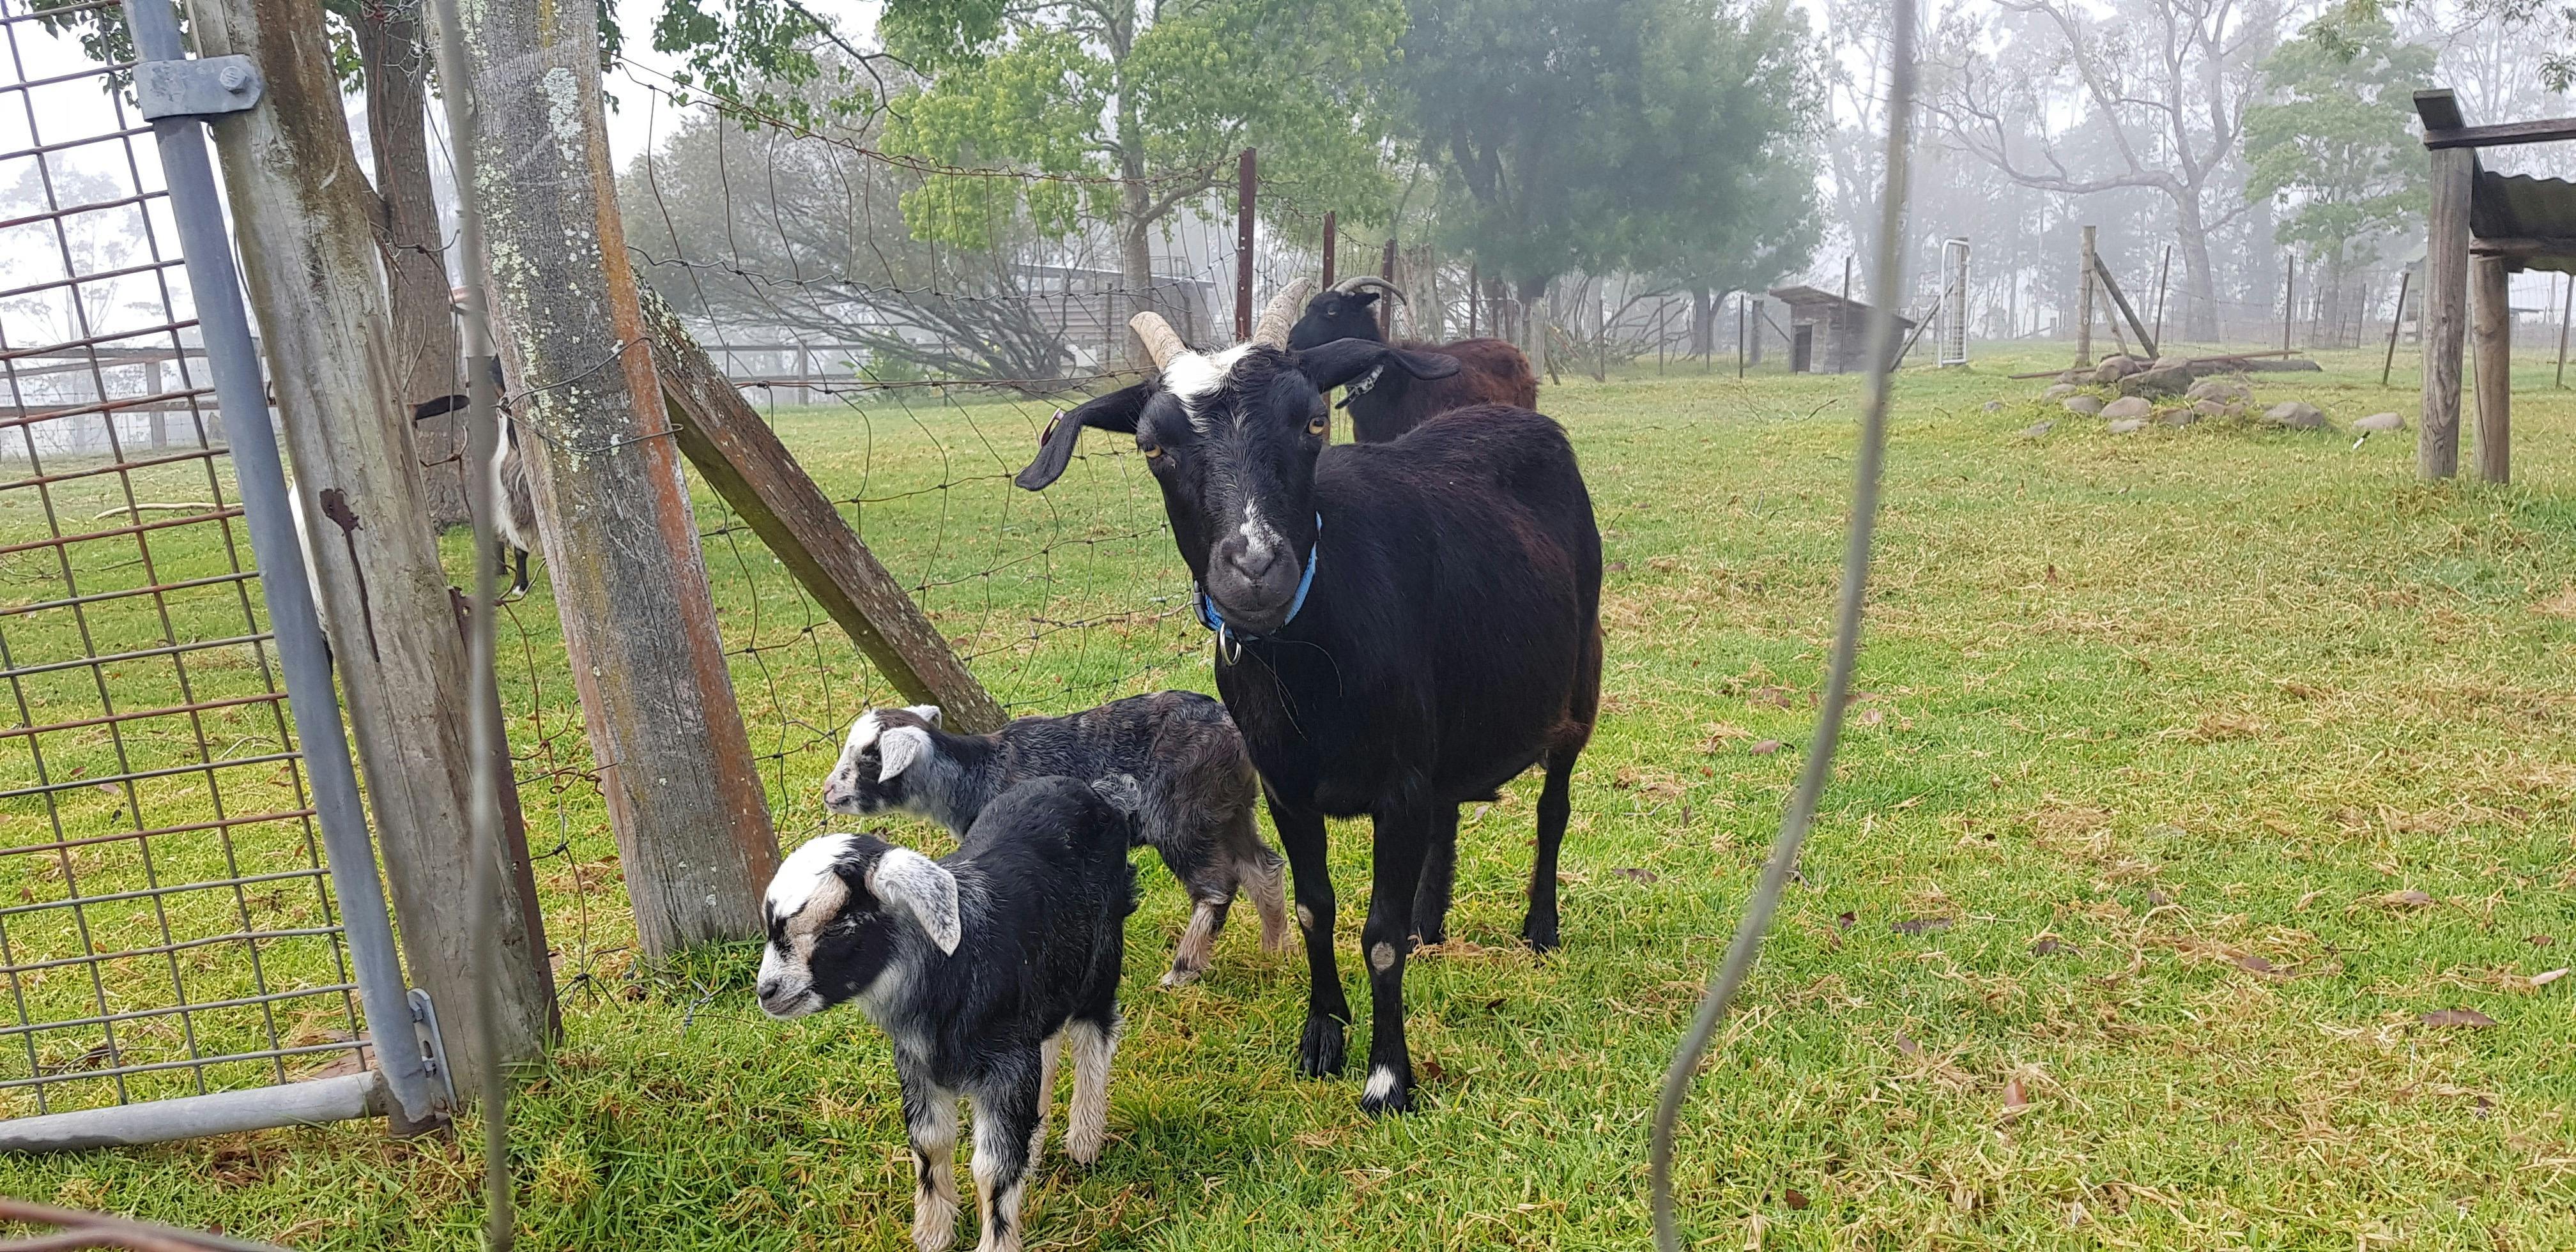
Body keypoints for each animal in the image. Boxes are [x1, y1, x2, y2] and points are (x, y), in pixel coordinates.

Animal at [757, 776, 1139, 1252]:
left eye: (841, 926)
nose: (767, 992)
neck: (951, 968)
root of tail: (1097, 791)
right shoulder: (917, 1062)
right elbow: (929, 1142)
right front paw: (932, 1233)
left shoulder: (1005, 1066)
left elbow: (992, 1168)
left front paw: (994, 1242)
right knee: (1050, 1042)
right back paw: (1036, 1143)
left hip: (1101, 960)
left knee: (1094, 1037)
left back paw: (1084, 1140)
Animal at [821, 694, 1288, 986]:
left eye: (869, 757)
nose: (828, 792)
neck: (976, 773)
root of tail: (1231, 727)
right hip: (1229, 808)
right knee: (1263, 867)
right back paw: (1274, 952)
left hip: (1181, 815)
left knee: (1216, 887)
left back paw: (1184, 969)